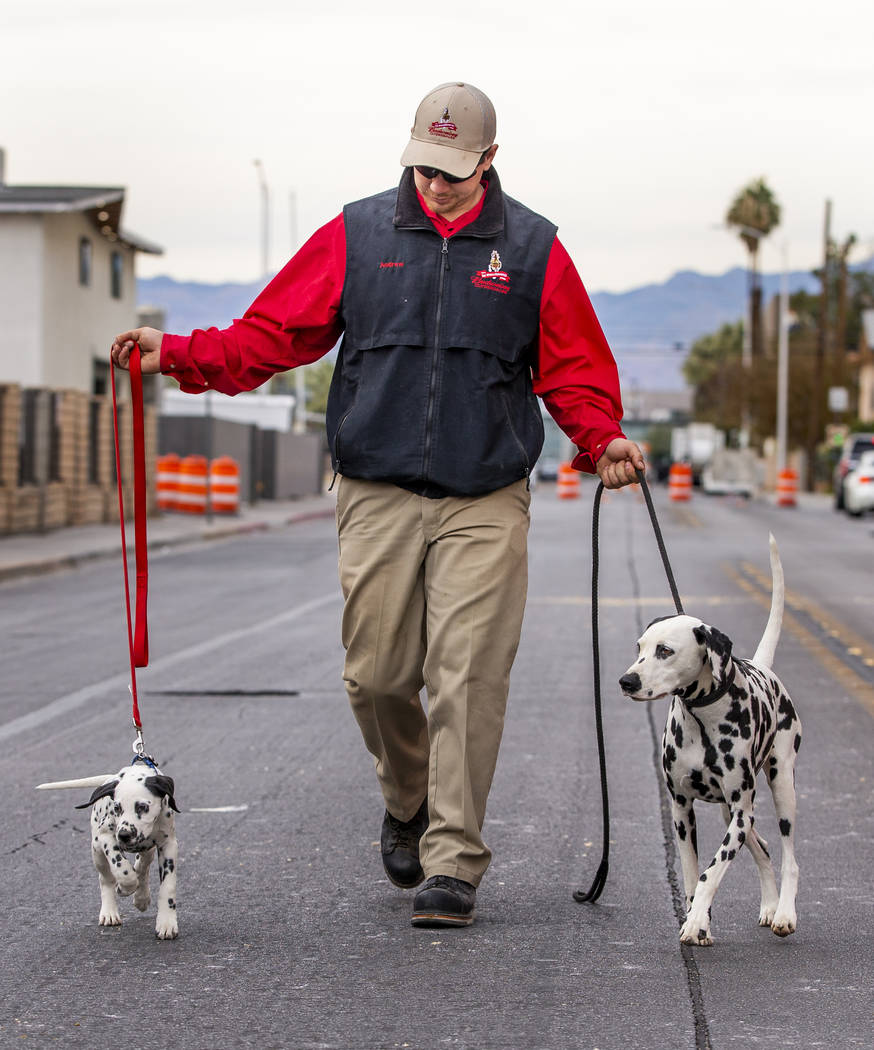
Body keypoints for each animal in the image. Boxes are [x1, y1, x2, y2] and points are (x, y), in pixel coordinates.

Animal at [37, 760, 179, 940]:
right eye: (117, 808)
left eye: (142, 806)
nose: (124, 835)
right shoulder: (106, 838)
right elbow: (123, 870)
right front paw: (125, 887)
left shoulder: (168, 845)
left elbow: (167, 886)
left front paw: (166, 923)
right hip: (97, 853)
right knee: (106, 879)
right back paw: (110, 911)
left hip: (147, 849)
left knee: (143, 865)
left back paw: (142, 897)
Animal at [621, 537, 798, 949]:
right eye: (640, 646)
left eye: (665, 650)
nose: (627, 681)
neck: (704, 719)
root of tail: (764, 667)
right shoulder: (682, 810)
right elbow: (691, 874)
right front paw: (695, 918)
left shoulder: (740, 814)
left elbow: (710, 873)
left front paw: (698, 920)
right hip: (732, 812)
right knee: (764, 849)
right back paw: (769, 906)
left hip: (780, 788)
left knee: (789, 855)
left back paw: (784, 913)